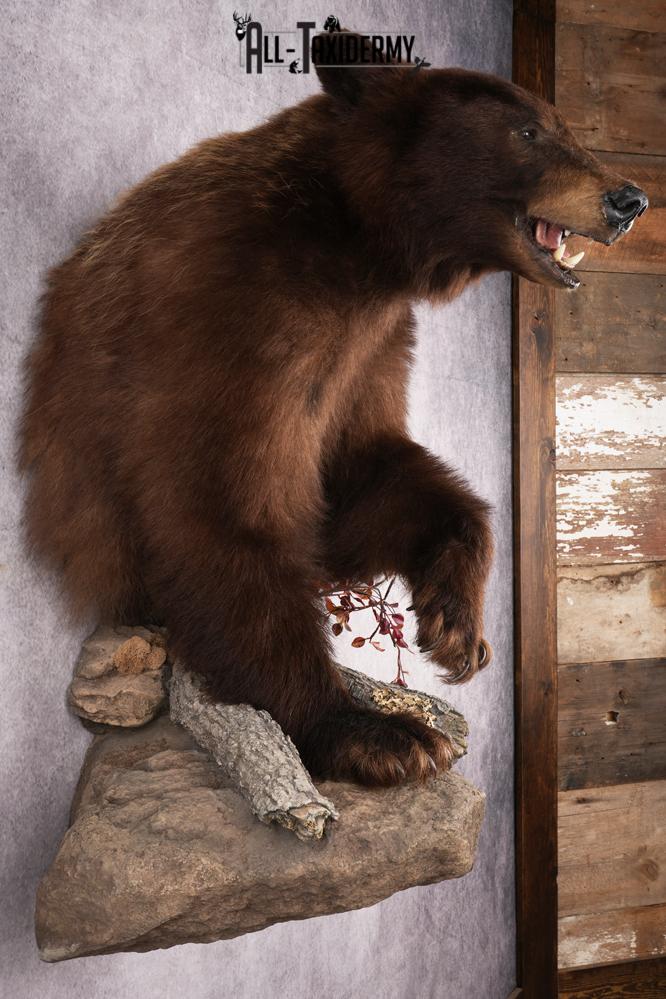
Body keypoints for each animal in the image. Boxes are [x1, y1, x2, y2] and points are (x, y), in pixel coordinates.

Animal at [19, 33, 647, 786]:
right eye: (528, 131)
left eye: (565, 126)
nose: (629, 198)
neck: (357, 241)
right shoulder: (230, 313)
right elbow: (222, 504)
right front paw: (374, 733)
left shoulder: (369, 345)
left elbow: (360, 468)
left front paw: (456, 627)